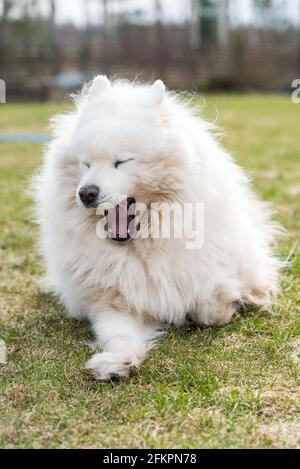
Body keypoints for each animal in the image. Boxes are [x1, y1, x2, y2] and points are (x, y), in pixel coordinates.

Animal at [34, 75, 282, 378]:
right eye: (85, 163)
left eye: (120, 162)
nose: (86, 193)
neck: (142, 246)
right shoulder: (113, 303)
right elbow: (117, 335)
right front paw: (116, 362)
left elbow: (209, 308)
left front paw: (225, 301)